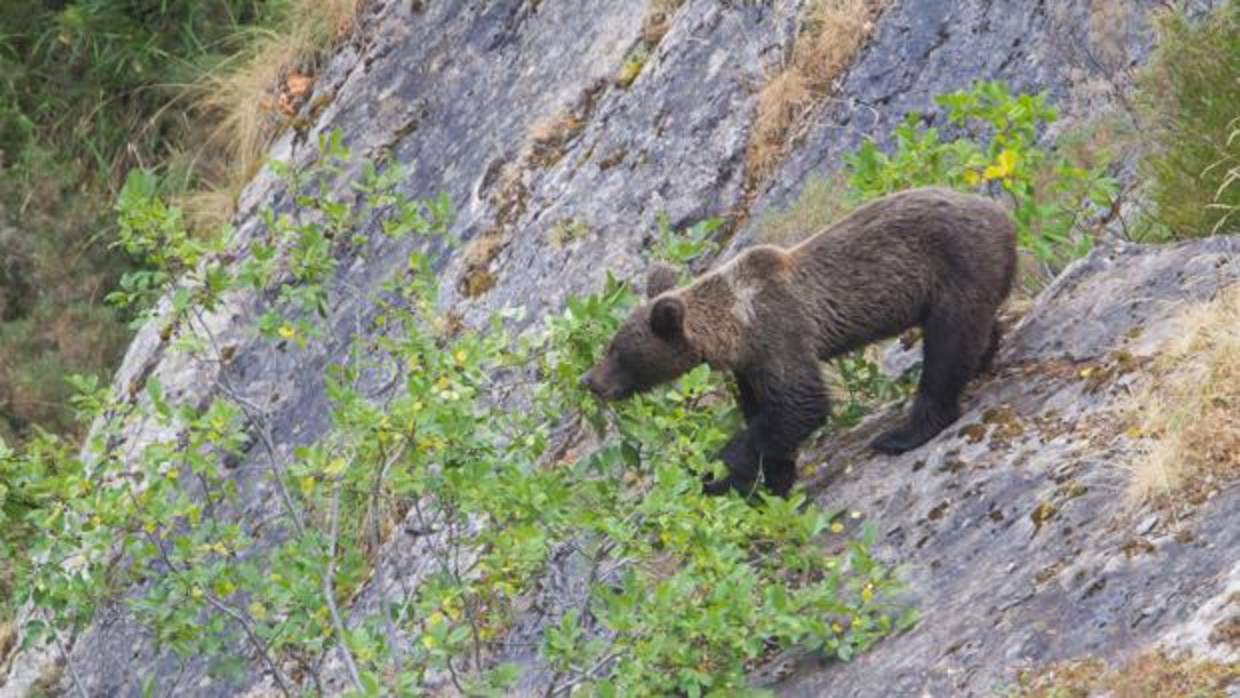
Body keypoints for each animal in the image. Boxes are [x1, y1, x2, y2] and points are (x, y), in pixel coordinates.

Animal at [580, 185, 1016, 495]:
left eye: (617, 350)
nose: (591, 381)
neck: (735, 325)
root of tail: (1002, 213)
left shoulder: (779, 331)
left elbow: (800, 405)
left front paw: (717, 474)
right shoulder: (751, 366)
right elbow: (770, 416)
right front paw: (771, 483)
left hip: (956, 266)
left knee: (947, 346)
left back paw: (902, 434)